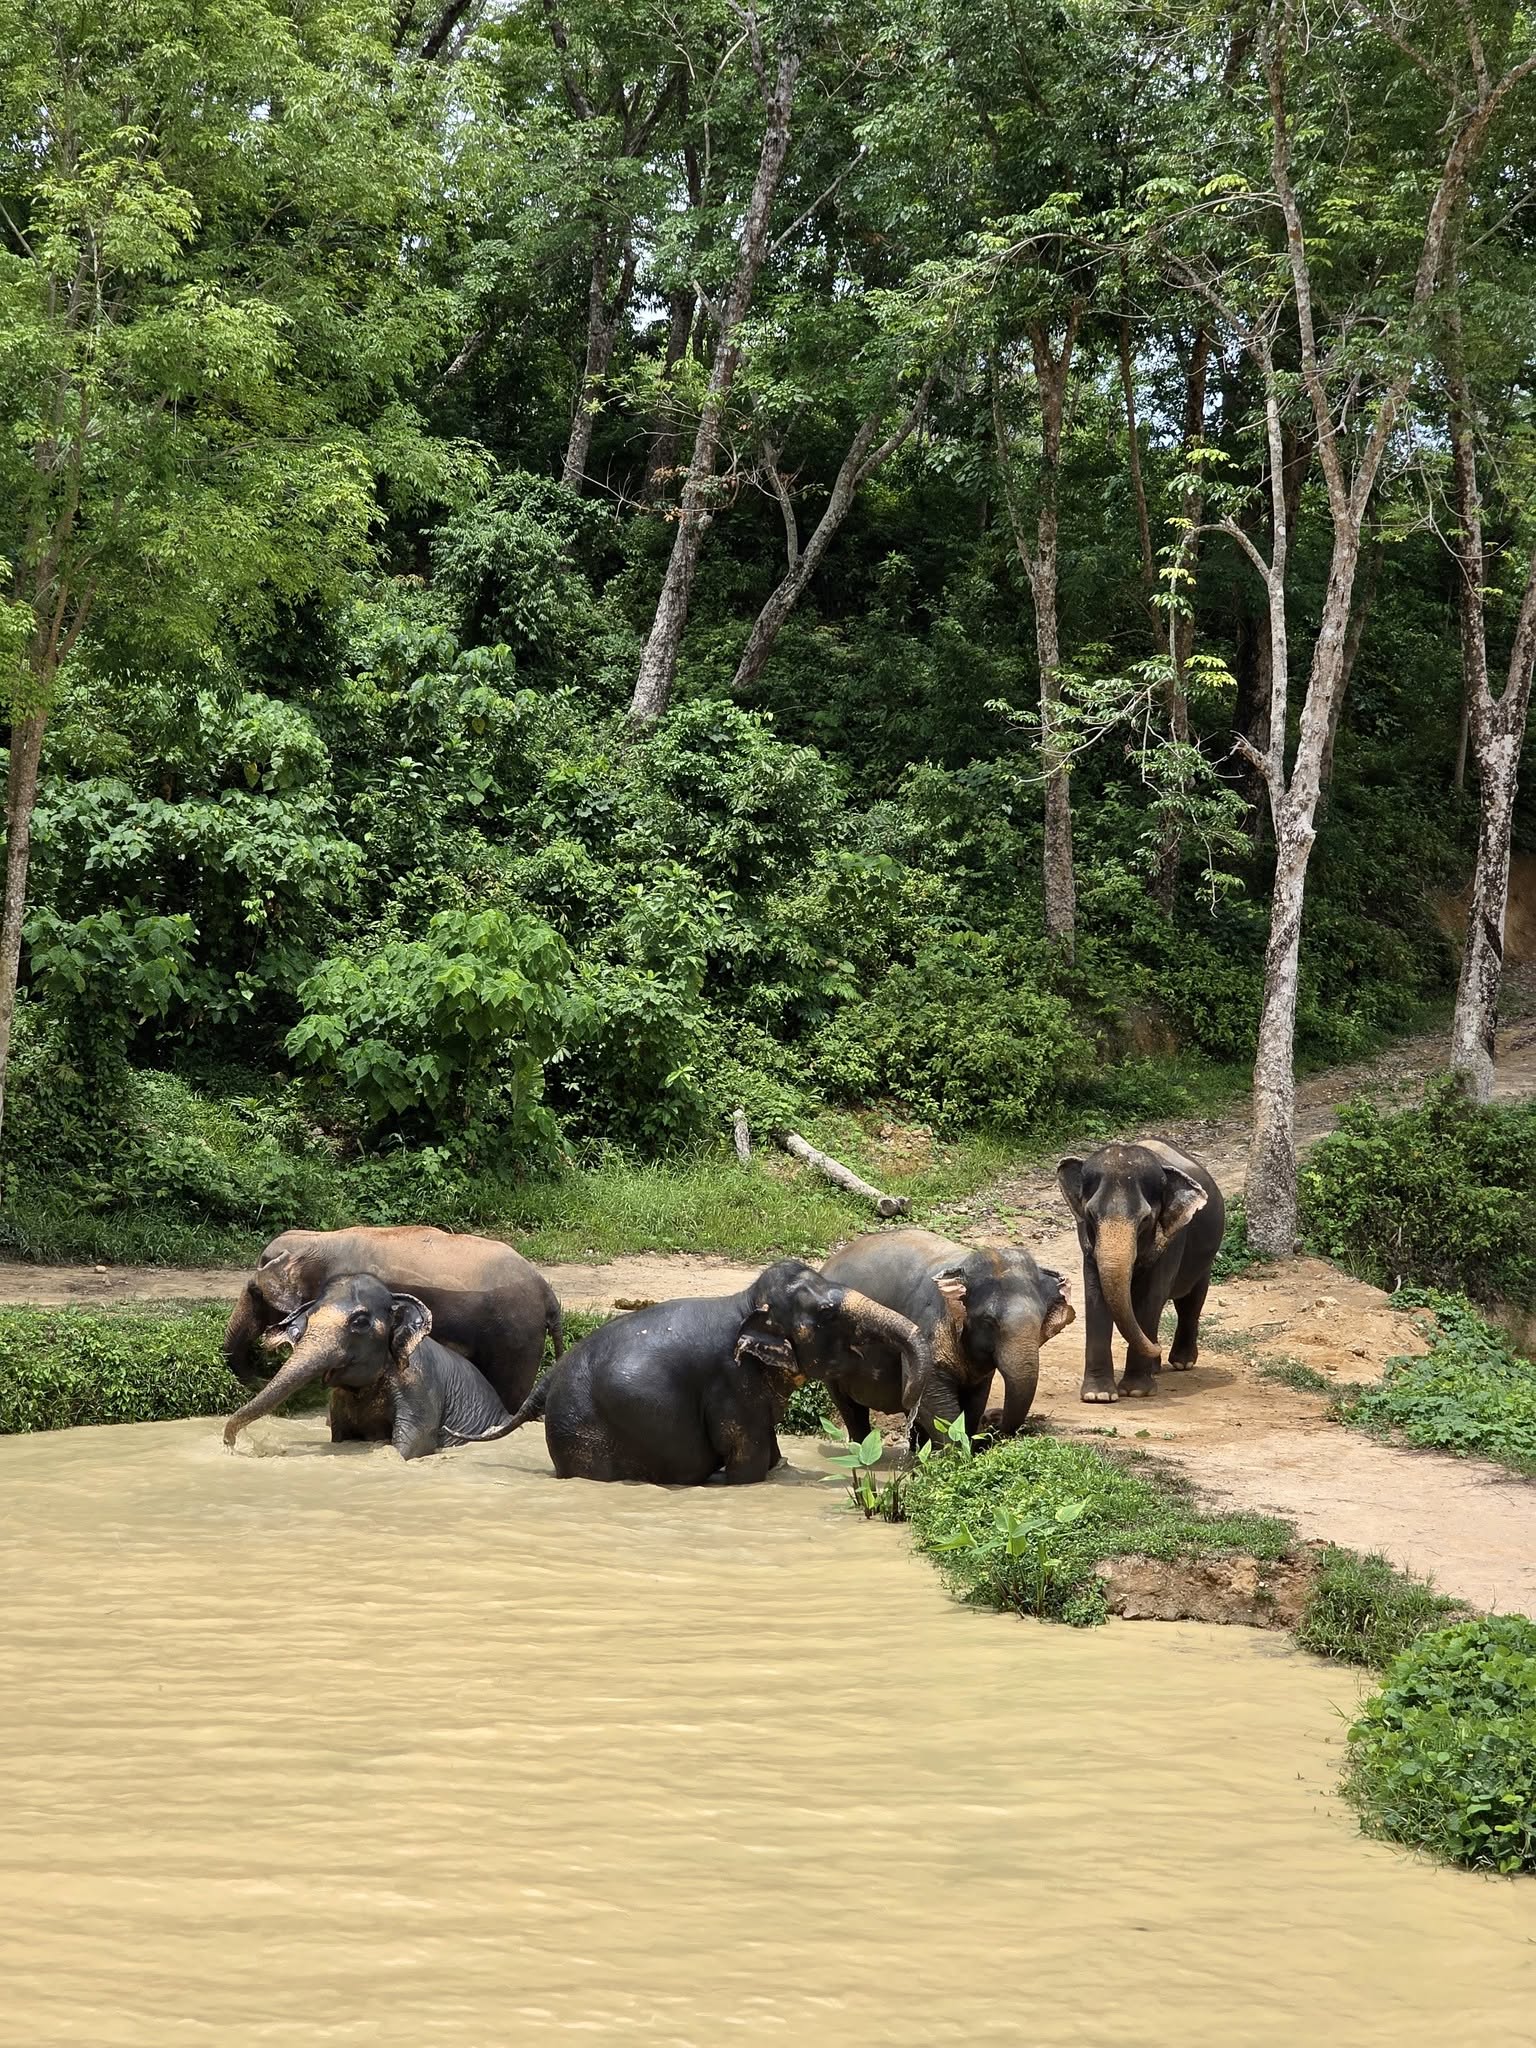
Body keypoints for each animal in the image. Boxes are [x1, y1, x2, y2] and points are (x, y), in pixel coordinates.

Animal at [221, 1267, 518, 1459]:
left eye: (360, 1322)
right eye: (309, 1318)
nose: (230, 1444)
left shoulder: (419, 1385)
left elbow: (414, 1442)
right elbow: (341, 1436)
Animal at [501, 1258, 931, 1486]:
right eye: (826, 1313)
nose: (909, 1402)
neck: (746, 1302)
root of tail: (549, 1379)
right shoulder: (732, 1381)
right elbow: (748, 1462)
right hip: (578, 1431)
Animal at [816, 1230, 1074, 1443]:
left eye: (1041, 1320)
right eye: (989, 1321)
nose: (993, 1419)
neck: (961, 1266)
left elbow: (974, 1401)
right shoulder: (926, 1323)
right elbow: (931, 1401)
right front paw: (957, 1454)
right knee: (850, 1409)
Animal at [1057, 1139, 1224, 1403]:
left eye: (1145, 1219)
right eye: (1091, 1215)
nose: (1157, 1348)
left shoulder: (1173, 1238)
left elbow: (1150, 1298)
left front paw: (1136, 1391)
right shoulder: (1086, 1240)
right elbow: (1096, 1296)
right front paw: (1098, 1395)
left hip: (1204, 1259)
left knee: (1190, 1300)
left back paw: (1182, 1362)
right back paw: (1155, 1366)